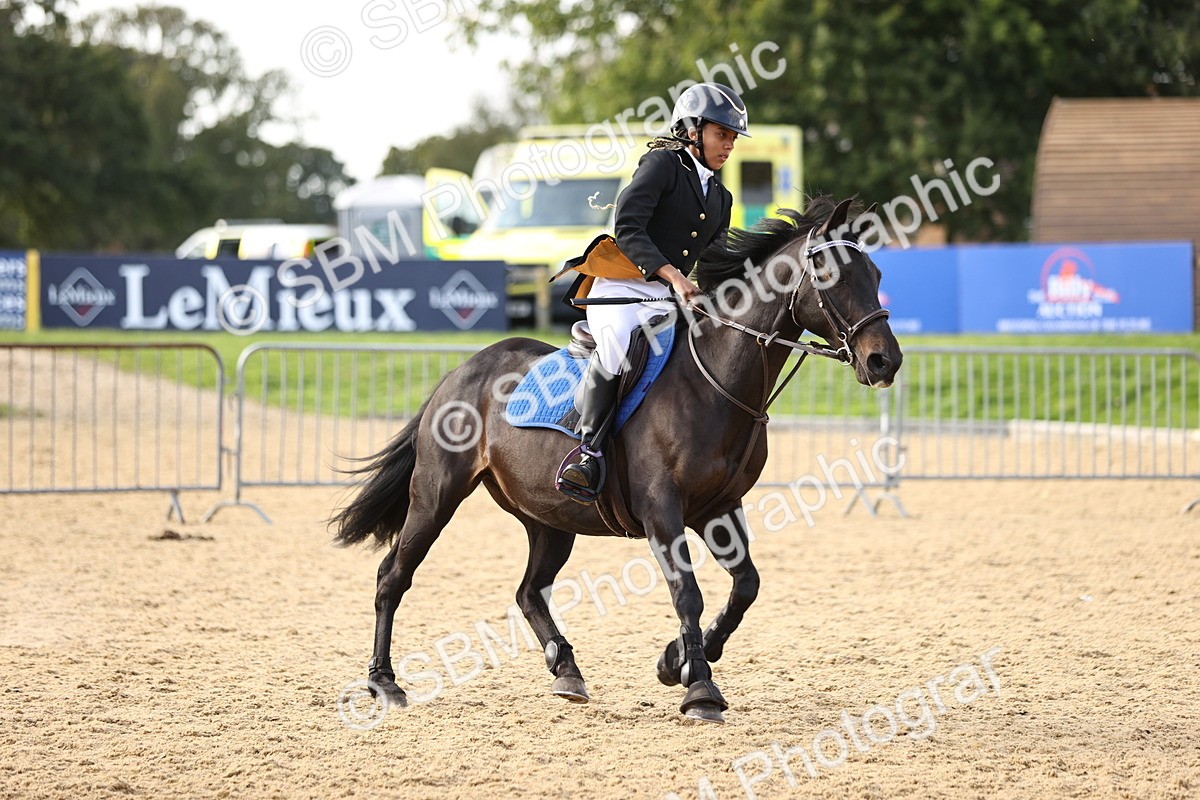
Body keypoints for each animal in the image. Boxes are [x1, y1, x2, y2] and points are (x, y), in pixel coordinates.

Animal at [331, 197, 902, 723]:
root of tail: (462, 370)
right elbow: (687, 593)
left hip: (549, 519)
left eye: (876, 275)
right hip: (436, 495)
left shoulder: (718, 509)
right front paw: (700, 689)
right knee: (393, 576)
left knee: (529, 592)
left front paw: (679, 660)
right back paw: (384, 682)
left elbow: (746, 586)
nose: (885, 361)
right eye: (831, 274)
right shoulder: (662, 510)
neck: (715, 379)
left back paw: (566, 670)